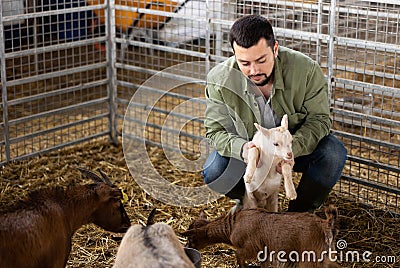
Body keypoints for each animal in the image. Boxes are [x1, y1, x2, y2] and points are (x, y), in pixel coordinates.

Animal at [182, 206, 340, 266]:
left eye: (190, 237)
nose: (186, 246)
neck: (232, 226)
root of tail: (326, 224)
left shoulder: (250, 247)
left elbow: (238, 255)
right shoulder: (264, 251)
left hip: (309, 256)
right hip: (326, 254)